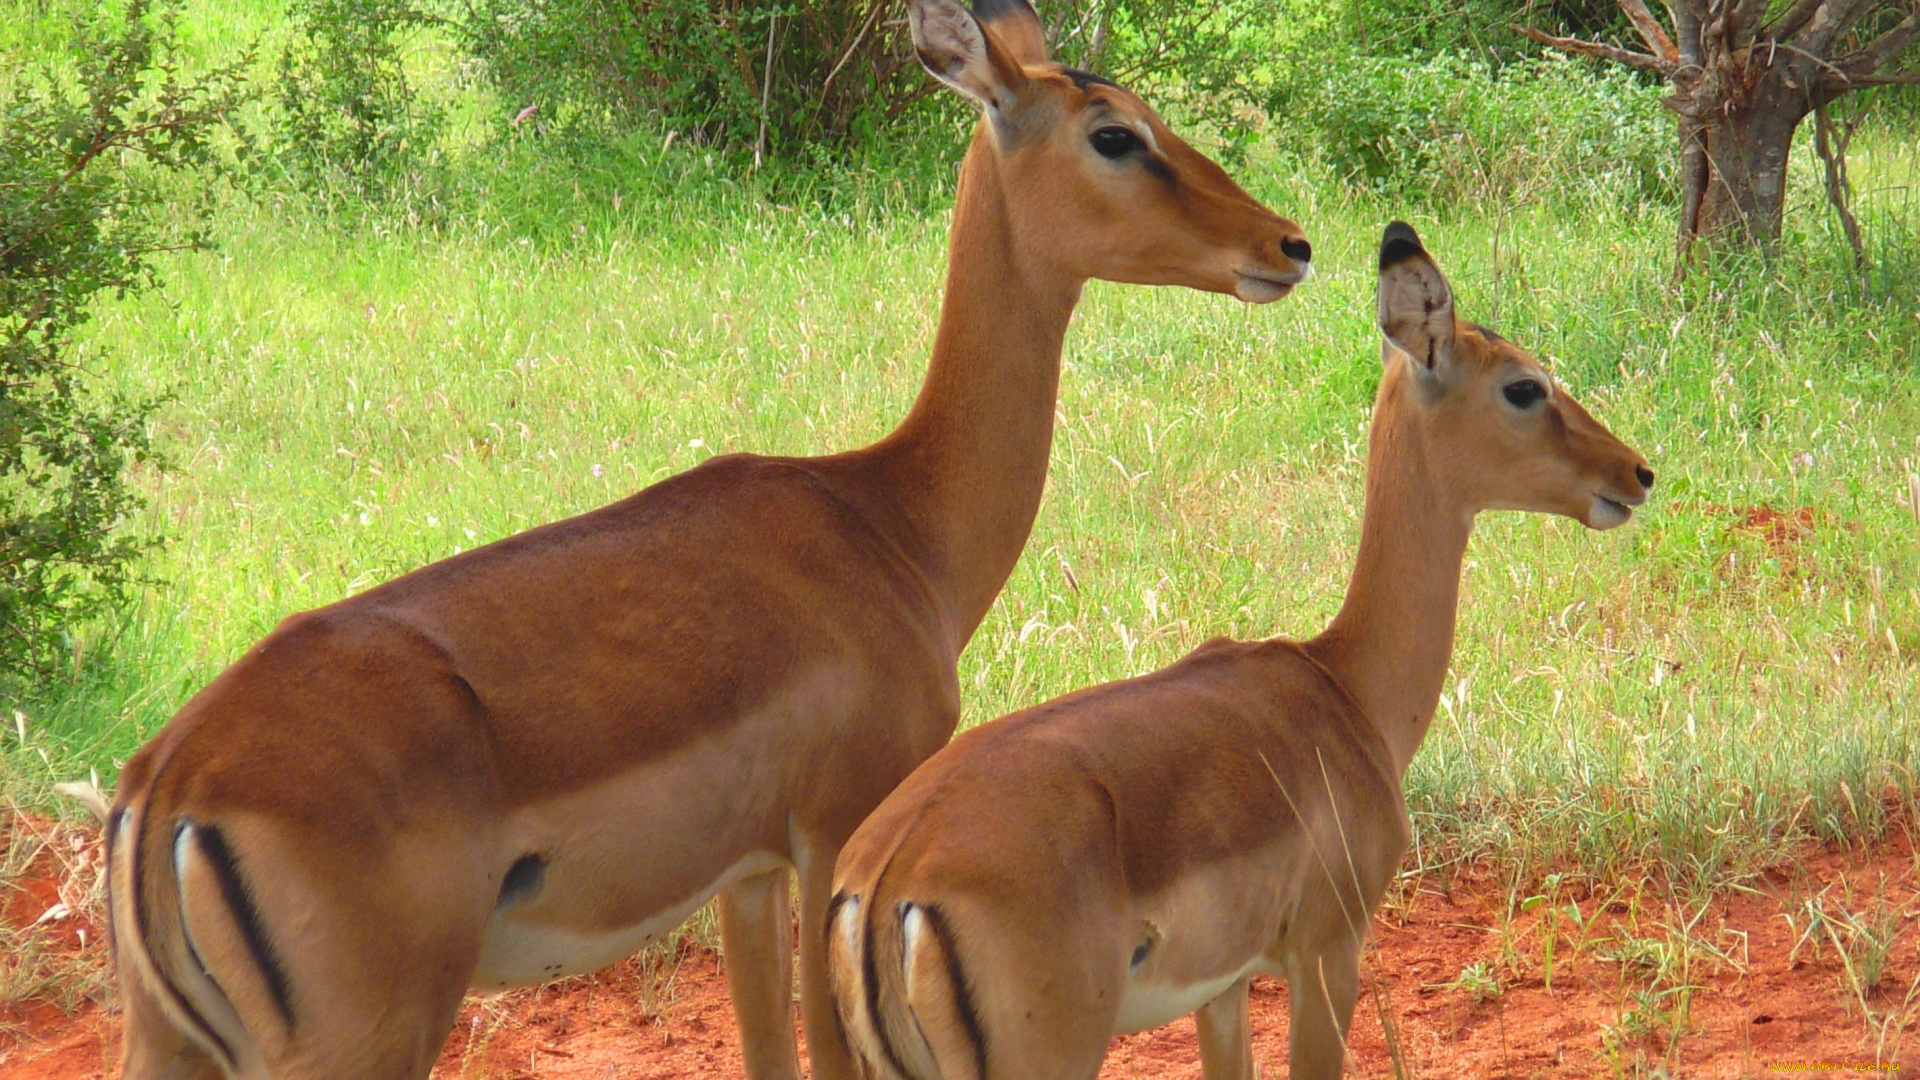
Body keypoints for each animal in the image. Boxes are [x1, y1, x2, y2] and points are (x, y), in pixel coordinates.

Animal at [101, 2, 1305, 1076]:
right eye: (1115, 133)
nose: (1288, 245)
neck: (889, 523)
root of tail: (170, 786)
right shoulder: (833, 832)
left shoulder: (748, 874)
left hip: (174, 1044)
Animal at [825, 220, 1651, 1076]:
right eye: (1524, 386)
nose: (1636, 472)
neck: (1344, 685)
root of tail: (887, 880)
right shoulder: (1328, 954)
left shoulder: (1221, 989)